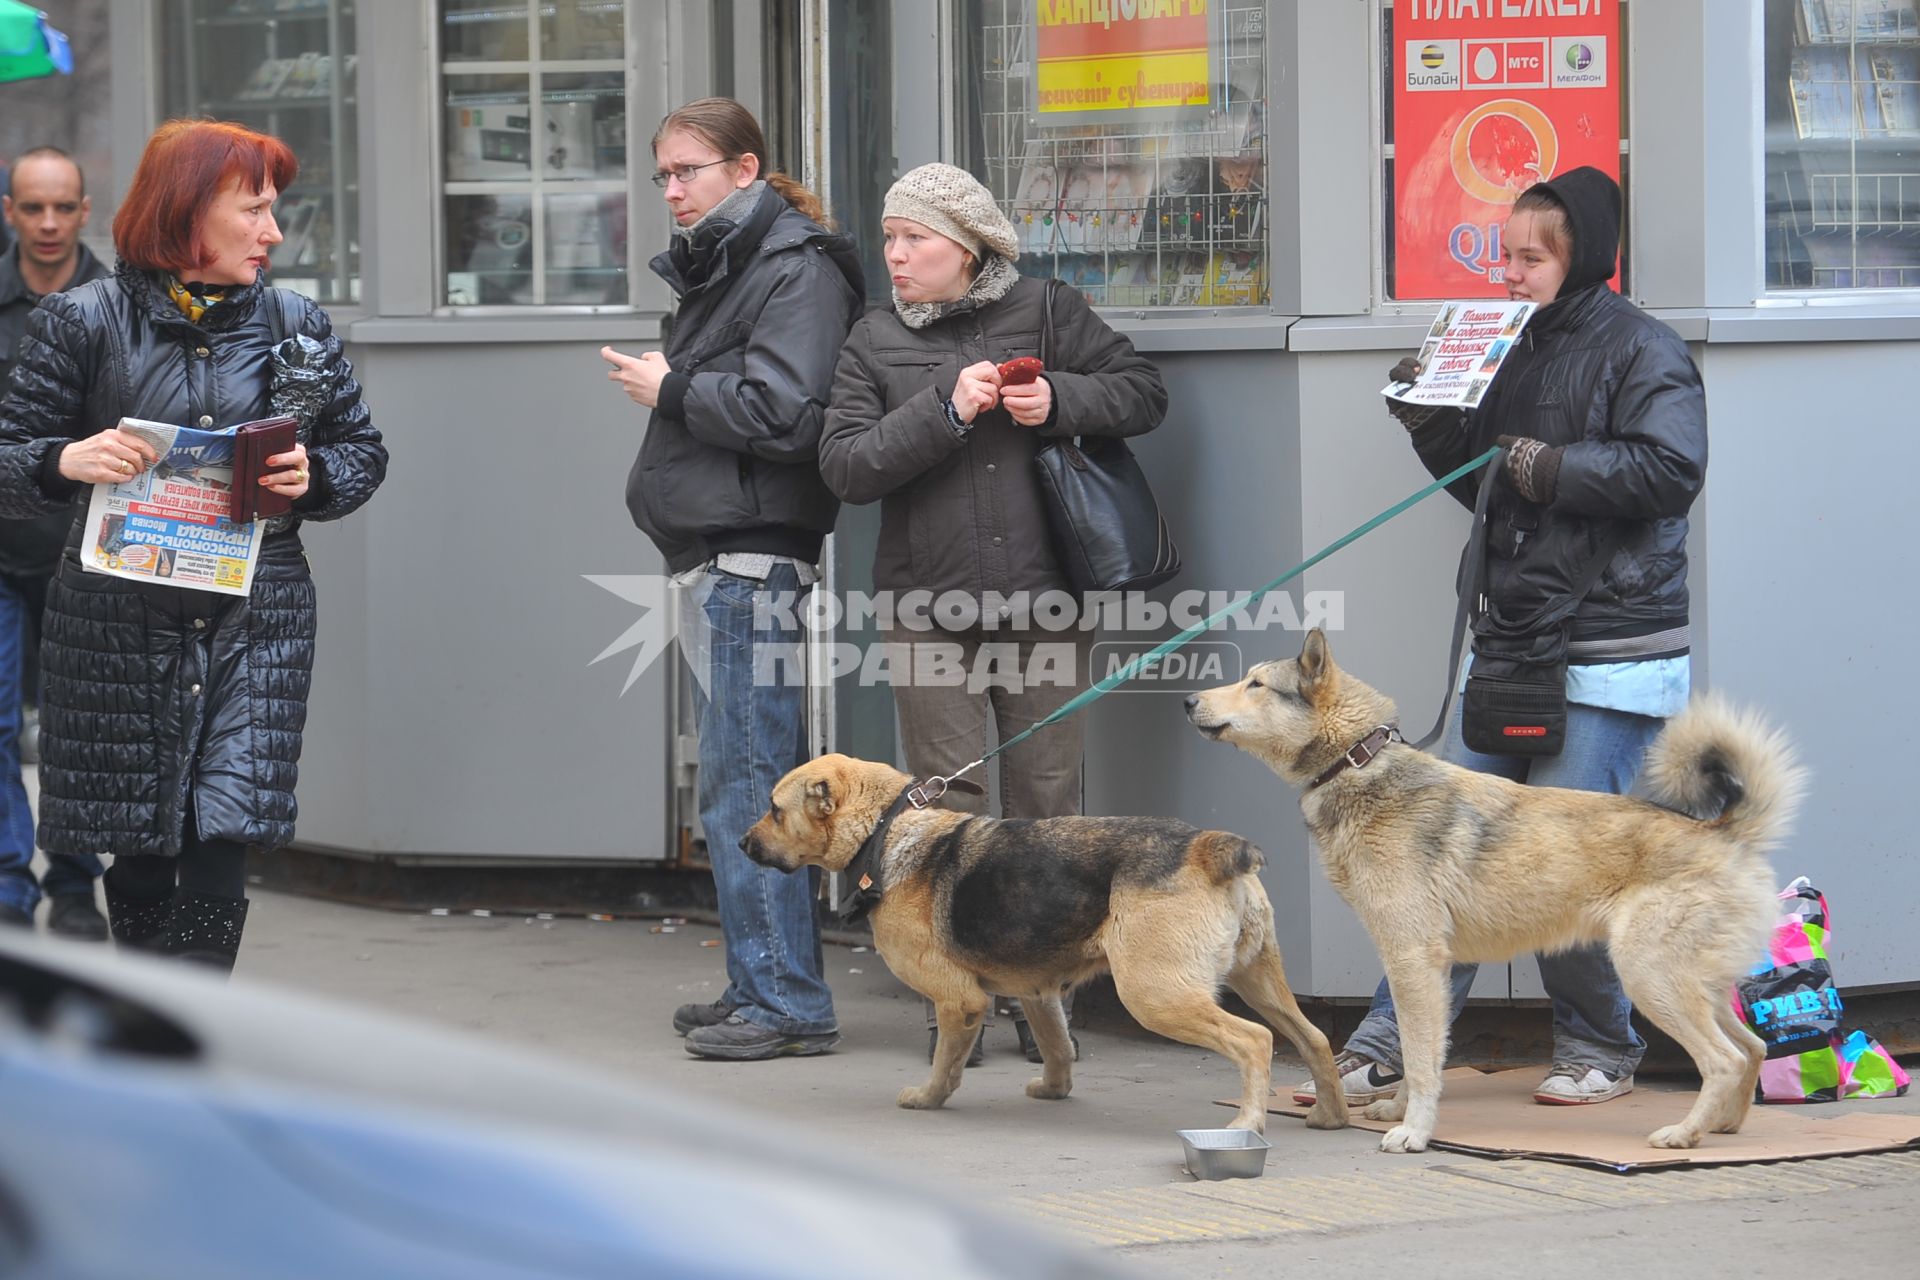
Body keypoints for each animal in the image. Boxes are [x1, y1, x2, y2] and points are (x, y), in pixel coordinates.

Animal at [737, 756, 1351, 1136]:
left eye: (774, 809)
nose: (741, 843)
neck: (886, 830)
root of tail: (1207, 846)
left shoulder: (960, 1002)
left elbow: (945, 1065)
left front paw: (928, 1099)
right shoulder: (1037, 992)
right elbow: (1057, 1048)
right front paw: (1056, 1091)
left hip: (1157, 996)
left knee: (1255, 1041)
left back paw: (1248, 1124)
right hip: (1260, 981)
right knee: (1315, 1038)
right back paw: (1331, 1116)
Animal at [1182, 629, 1797, 1151]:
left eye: (1256, 685)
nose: (1187, 701)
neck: (1357, 764)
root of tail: (1727, 832)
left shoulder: (1412, 957)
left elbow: (1423, 1059)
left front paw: (1414, 1132)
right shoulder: (1423, 967)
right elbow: (1421, 1050)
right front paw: (1401, 1112)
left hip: (1650, 977)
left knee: (1722, 1060)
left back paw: (1685, 1134)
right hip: (1697, 986)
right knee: (1753, 1048)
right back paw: (1725, 1126)